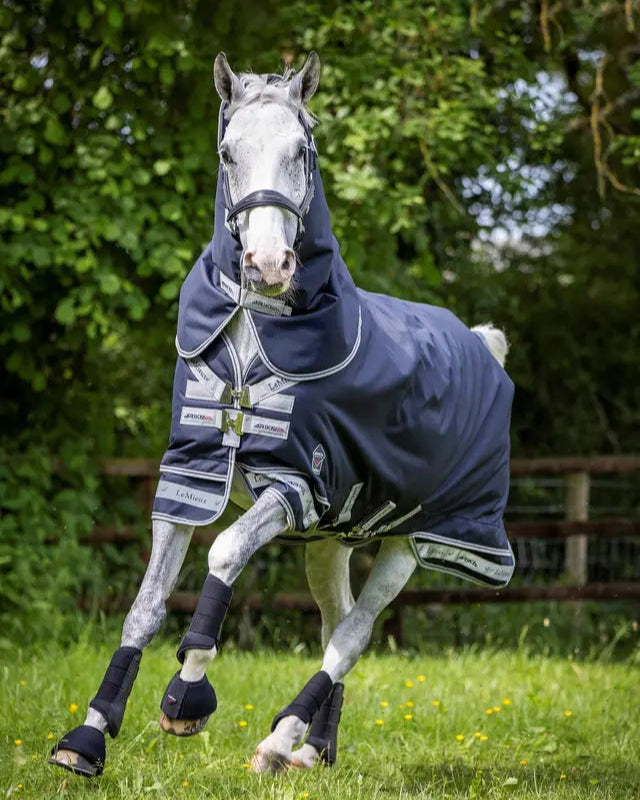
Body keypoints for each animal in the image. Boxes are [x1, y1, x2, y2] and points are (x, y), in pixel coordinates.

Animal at [50, 51, 515, 777]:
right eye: (227, 152)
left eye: (303, 149)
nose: (268, 263)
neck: (254, 336)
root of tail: (481, 343)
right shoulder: (188, 480)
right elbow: (144, 606)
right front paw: (88, 737)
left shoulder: (293, 485)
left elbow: (223, 554)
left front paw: (186, 697)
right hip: (332, 541)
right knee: (334, 621)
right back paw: (312, 750)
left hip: (417, 540)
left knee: (352, 633)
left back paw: (277, 741)